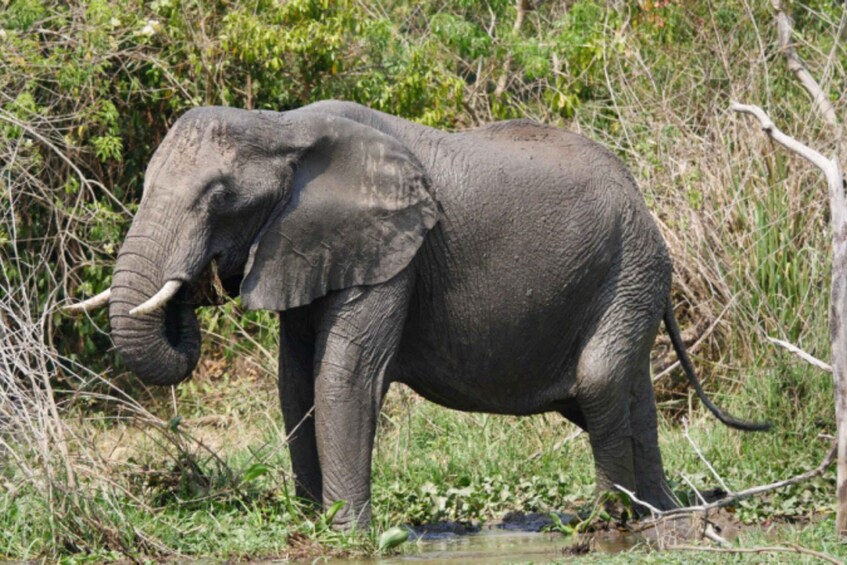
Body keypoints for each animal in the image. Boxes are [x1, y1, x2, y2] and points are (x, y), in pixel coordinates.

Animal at [67, 100, 767, 529]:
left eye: (219, 198)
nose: (197, 283)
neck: (280, 127)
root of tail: (643, 203)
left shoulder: (396, 252)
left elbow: (344, 376)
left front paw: (348, 534)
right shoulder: (312, 243)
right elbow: (294, 383)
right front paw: (312, 521)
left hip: (632, 269)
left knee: (598, 381)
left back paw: (611, 522)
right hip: (631, 275)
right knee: (624, 390)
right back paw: (663, 514)